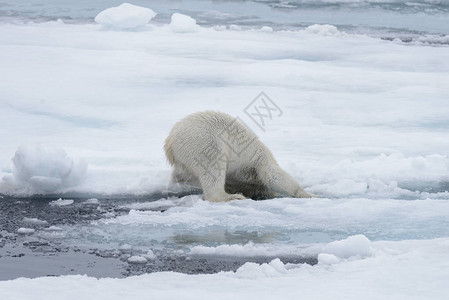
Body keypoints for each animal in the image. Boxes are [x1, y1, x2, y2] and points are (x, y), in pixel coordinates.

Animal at [163, 111, 314, 203]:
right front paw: (307, 194)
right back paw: (232, 197)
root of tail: (170, 141)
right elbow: (274, 176)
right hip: (205, 143)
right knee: (213, 168)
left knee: (182, 173)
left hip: (184, 156)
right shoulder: (260, 159)